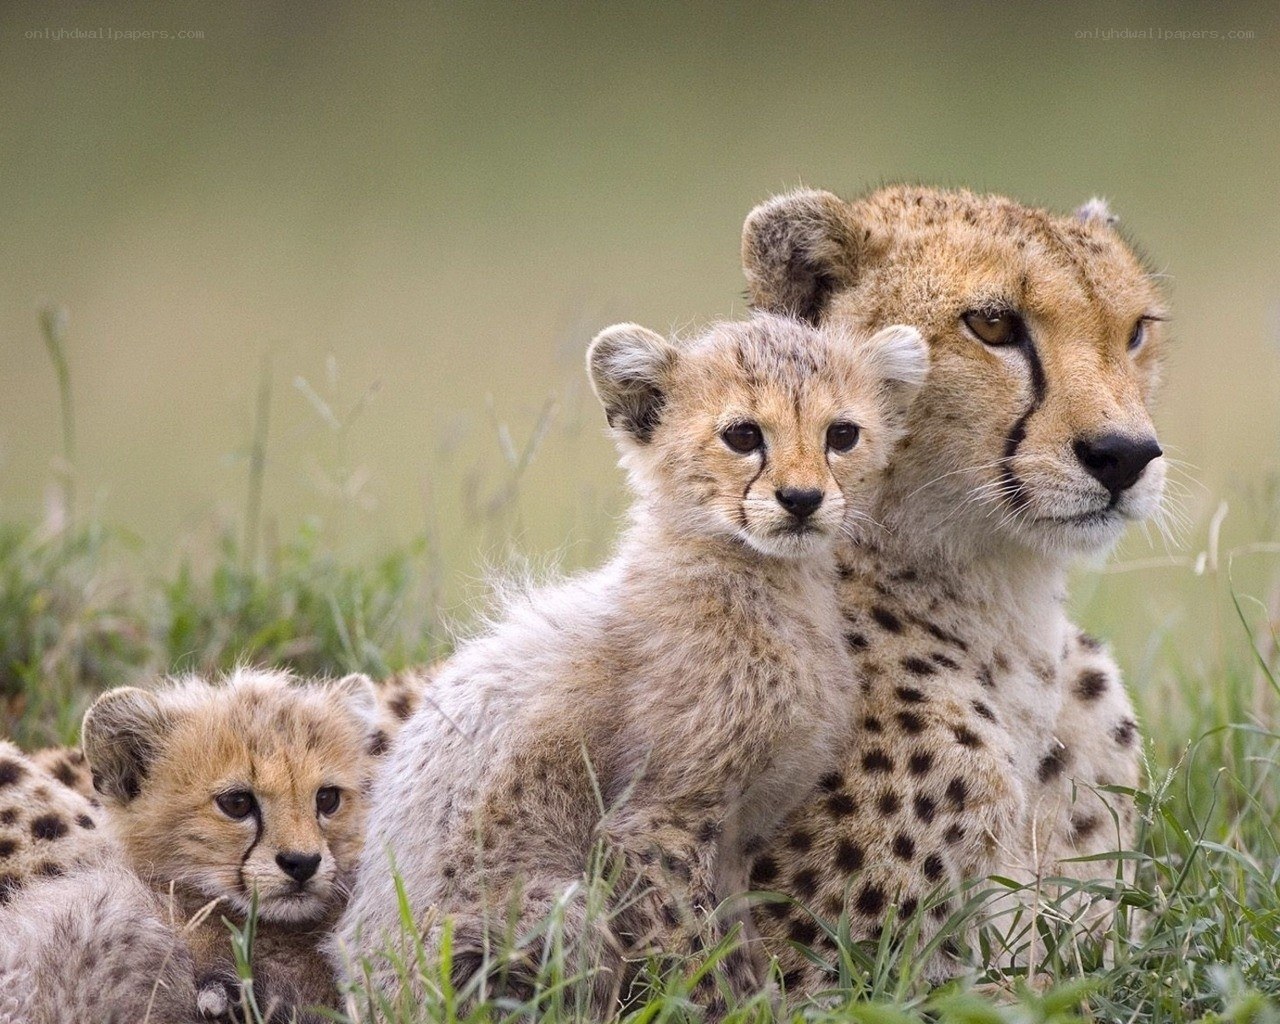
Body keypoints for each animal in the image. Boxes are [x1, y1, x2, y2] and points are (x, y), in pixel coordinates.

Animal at [331, 312, 929, 1016]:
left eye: (842, 434)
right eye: (742, 435)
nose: (803, 498)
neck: (762, 581)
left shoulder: (734, 841)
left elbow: (737, 944)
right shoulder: (652, 825)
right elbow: (696, 953)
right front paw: (720, 1010)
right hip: (550, 910)